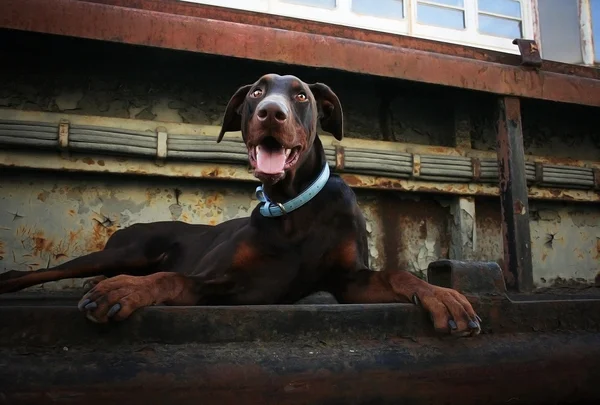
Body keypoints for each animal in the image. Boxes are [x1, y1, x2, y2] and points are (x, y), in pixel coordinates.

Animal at [0, 74, 480, 336]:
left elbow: (399, 275)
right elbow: (172, 277)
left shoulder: (348, 281)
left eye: (301, 96)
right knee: (40, 272)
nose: (271, 113)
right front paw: (126, 291)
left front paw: (444, 296)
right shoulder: (224, 281)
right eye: (255, 93)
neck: (292, 208)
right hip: (125, 251)